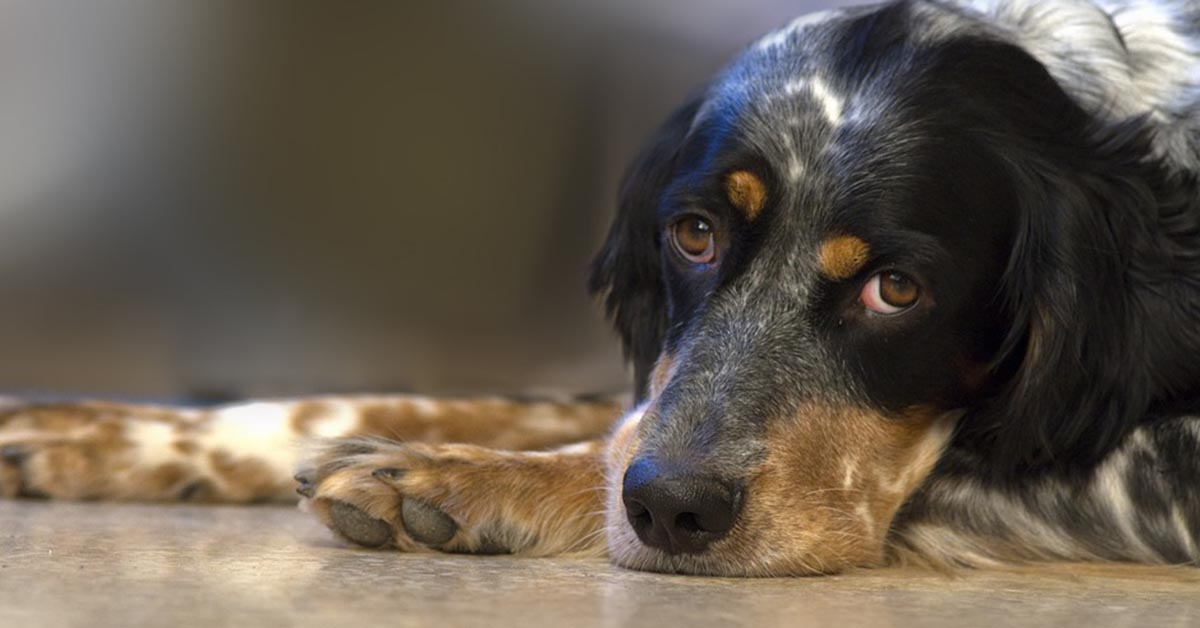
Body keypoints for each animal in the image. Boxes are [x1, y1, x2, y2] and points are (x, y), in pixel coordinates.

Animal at [2, 0, 1200, 578]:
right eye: (695, 232)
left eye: (898, 289)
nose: (674, 509)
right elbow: (544, 405)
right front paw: (113, 433)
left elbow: (596, 440)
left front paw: (461, 481)